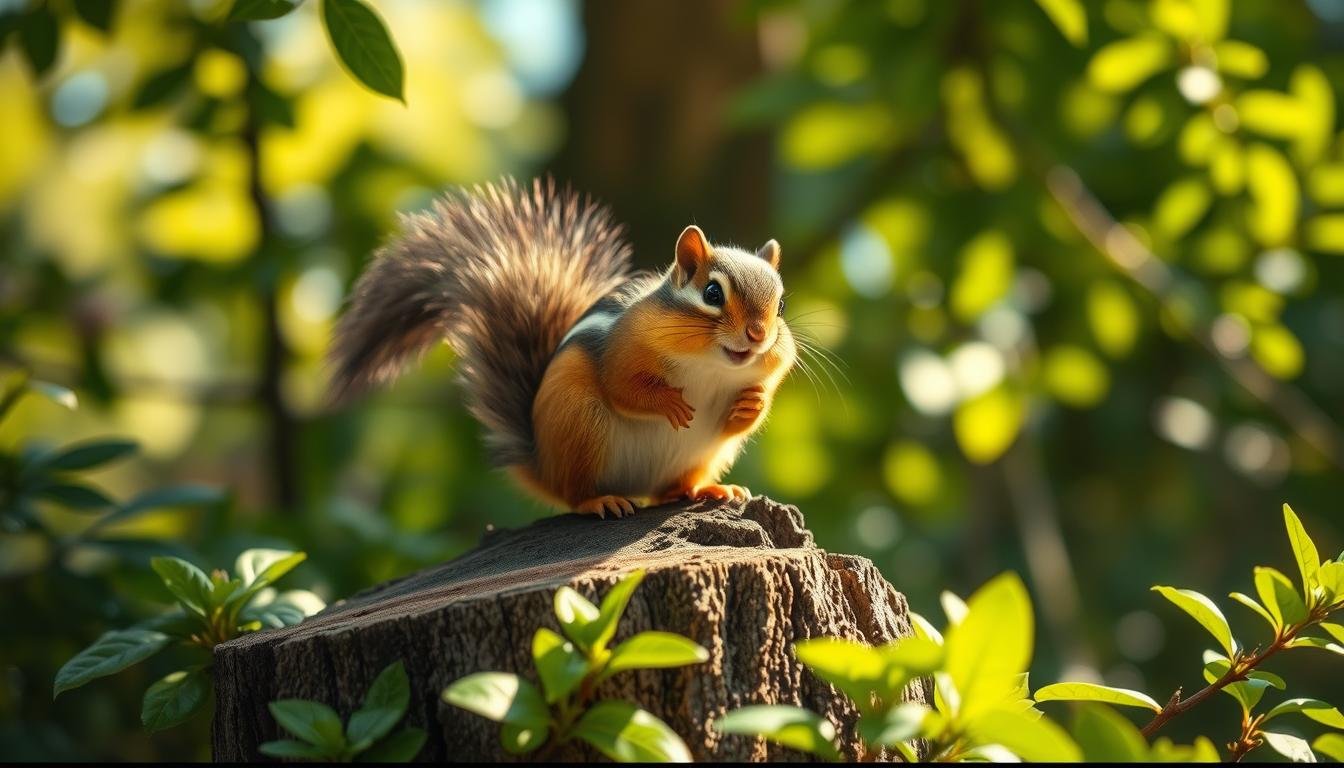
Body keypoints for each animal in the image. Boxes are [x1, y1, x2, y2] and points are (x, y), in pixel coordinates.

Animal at [328, 178, 796, 519]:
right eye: (713, 294)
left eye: (780, 304)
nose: (758, 334)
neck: (711, 365)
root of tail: (543, 465)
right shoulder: (621, 351)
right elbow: (623, 389)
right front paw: (671, 404)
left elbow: (743, 416)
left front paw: (752, 404)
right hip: (580, 422)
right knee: (575, 495)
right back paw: (602, 500)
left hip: (699, 455)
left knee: (671, 490)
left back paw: (710, 489)